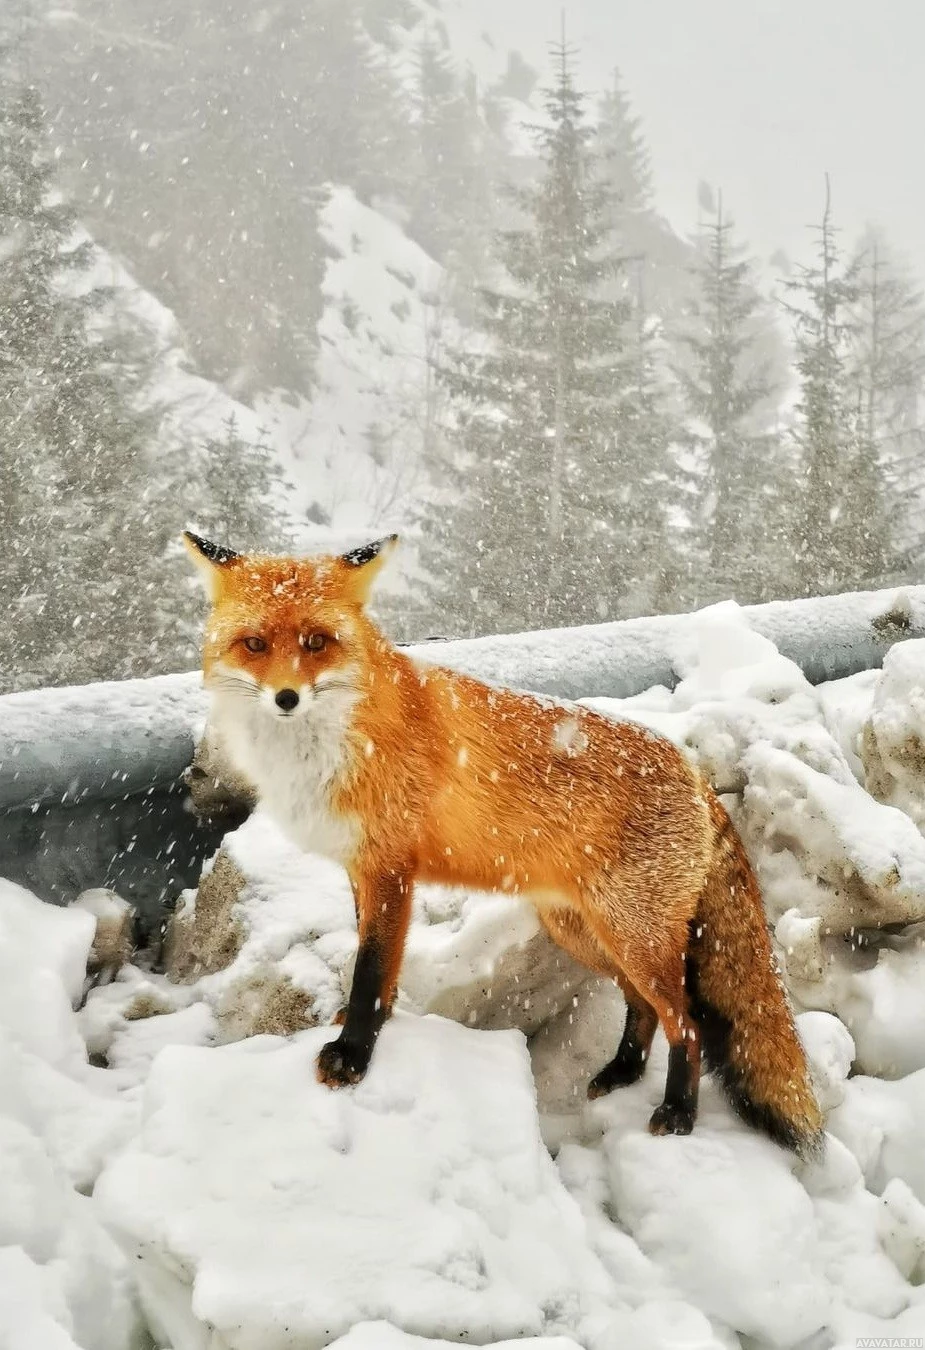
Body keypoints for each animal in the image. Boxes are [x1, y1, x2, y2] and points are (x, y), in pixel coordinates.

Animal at [182, 531, 821, 1155]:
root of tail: (693, 773)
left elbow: (370, 970)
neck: (339, 739)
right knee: (644, 1008)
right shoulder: (361, 870)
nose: (286, 697)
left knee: (687, 1024)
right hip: (584, 932)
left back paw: (678, 1113)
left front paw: (353, 1055)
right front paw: (363, 1025)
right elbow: (377, 969)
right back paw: (622, 1071)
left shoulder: (390, 869)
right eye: (254, 644)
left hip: (631, 935)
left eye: (317, 642)